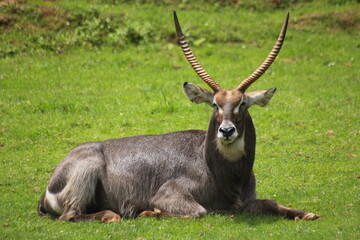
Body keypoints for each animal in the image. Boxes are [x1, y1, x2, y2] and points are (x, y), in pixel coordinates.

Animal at [36, 11, 320, 221]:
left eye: (242, 104)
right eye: (215, 104)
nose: (227, 131)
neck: (223, 174)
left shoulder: (247, 202)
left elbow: (272, 203)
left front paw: (307, 214)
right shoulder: (169, 194)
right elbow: (199, 212)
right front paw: (149, 212)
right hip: (88, 170)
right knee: (71, 216)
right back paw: (115, 215)